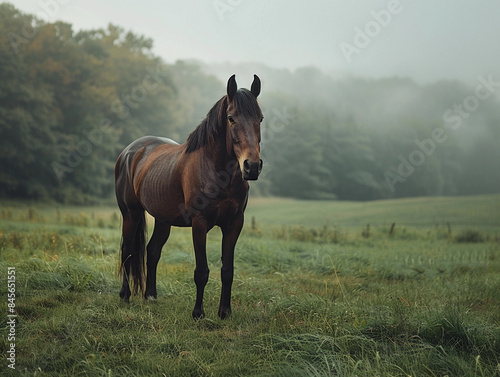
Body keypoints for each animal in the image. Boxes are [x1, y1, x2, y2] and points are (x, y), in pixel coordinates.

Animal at [115, 74, 264, 318]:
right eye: (231, 118)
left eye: (260, 118)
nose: (251, 167)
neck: (217, 171)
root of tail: (129, 152)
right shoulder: (199, 223)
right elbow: (201, 271)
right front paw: (198, 313)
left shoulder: (234, 223)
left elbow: (227, 270)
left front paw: (224, 312)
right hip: (131, 213)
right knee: (128, 252)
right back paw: (125, 295)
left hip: (163, 219)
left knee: (152, 251)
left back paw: (151, 296)